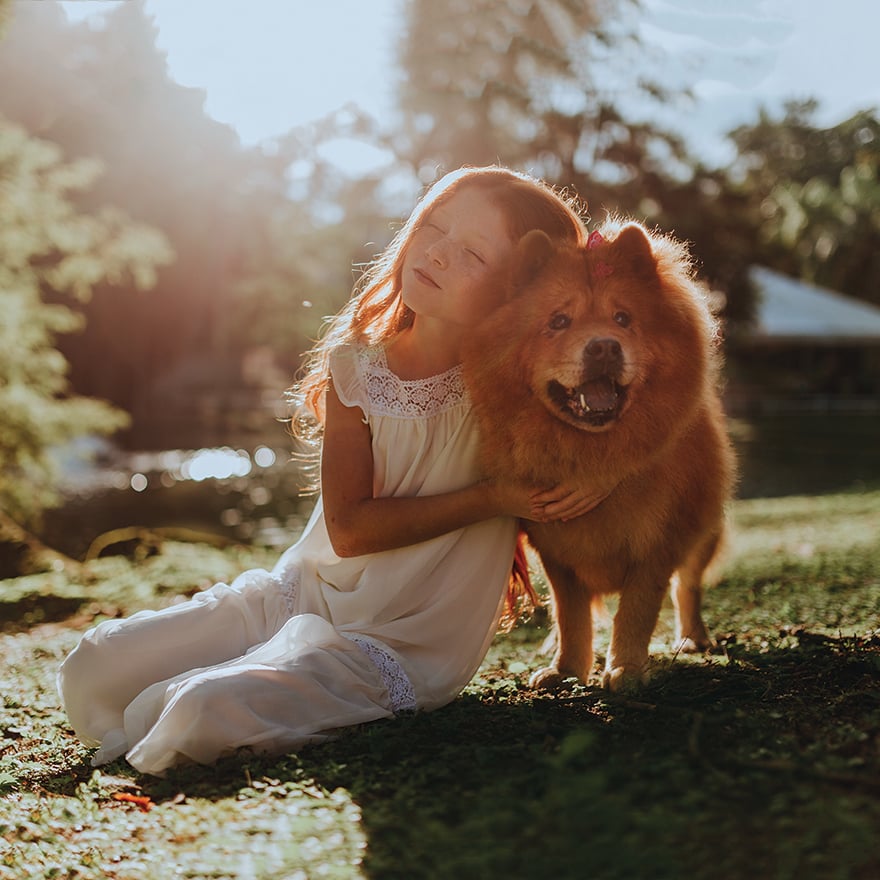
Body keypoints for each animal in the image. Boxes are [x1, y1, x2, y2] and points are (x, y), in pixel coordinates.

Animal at [460, 217, 736, 692]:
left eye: (623, 318)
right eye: (558, 321)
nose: (604, 346)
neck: (591, 450)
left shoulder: (658, 543)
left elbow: (638, 611)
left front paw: (626, 669)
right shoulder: (555, 551)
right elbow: (571, 614)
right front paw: (567, 668)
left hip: (704, 529)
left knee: (689, 586)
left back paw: (693, 638)